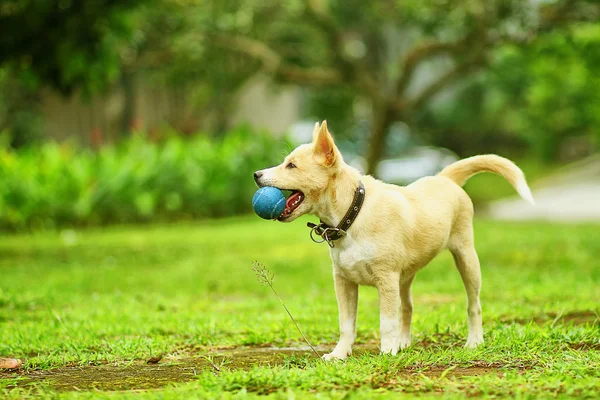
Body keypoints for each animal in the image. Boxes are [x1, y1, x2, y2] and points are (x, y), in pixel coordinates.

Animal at [253, 120, 536, 360]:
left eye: (291, 165)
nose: (256, 174)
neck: (353, 214)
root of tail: (444, 178)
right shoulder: (343, 282)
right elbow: (346, 324)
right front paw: (339, 354)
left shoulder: (386, 278)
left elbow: (386, 320)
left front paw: (387, 351)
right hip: (406, 277)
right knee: (408, 307)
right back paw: (404, 342)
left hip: (466, 257)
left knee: (473, 304)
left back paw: (474, 341)